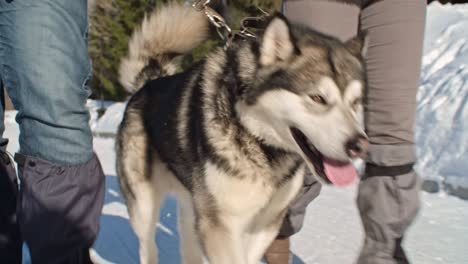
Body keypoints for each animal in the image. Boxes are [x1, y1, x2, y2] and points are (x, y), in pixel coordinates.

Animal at [116, 2, 370, 264]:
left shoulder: (265, 224)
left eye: (355, 102)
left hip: (192, 207)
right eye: (318, 98)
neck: (259, 140)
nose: (359, 145)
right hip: (144, 207)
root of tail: (149, 81)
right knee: (148, 246)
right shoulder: (221, 226)